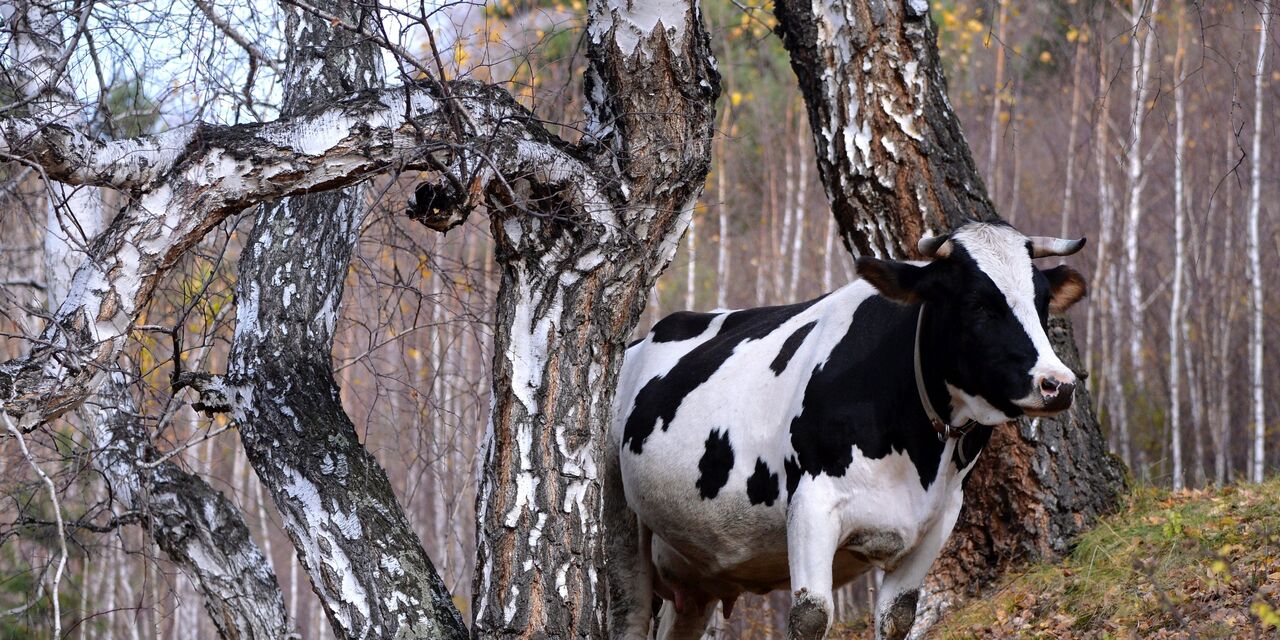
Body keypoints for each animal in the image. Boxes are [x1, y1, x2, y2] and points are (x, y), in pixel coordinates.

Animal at [604, 221, 1085, 640]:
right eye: (978, 304)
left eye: (1042, 302)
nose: (1058, 384)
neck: (918, 453)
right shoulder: (812, 506)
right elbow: (812, 616)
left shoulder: (938, 522)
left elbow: (897, 617)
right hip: (623, 532)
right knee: (628, 616)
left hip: (692, 581)